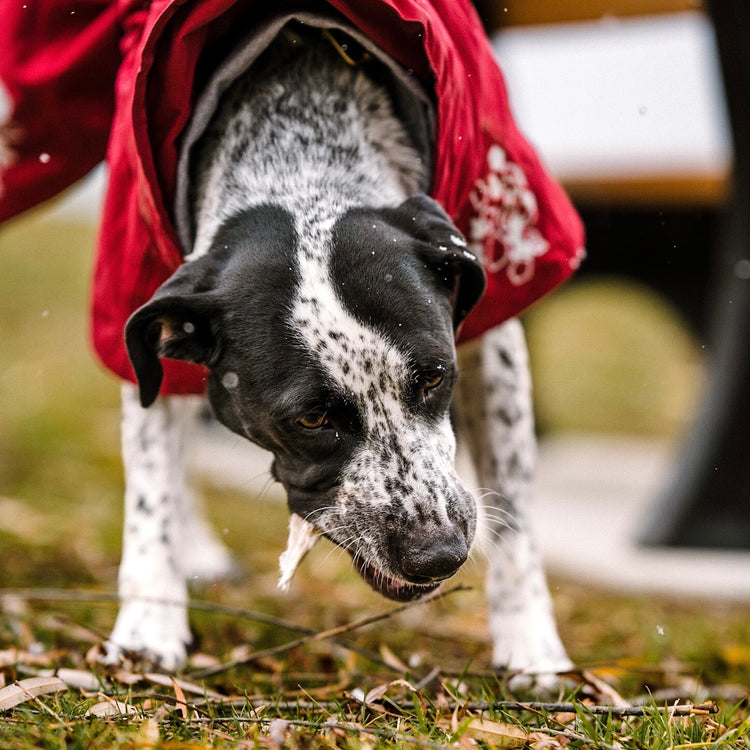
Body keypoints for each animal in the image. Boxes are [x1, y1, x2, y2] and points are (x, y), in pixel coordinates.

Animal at [97, 17, 572, 680]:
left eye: (434, 378)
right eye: (311, 418)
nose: (437, 555)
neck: (299, 150)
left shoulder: (491, 331)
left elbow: (518, 508)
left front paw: (531, 641)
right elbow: (151, 492)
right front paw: (147, 625)